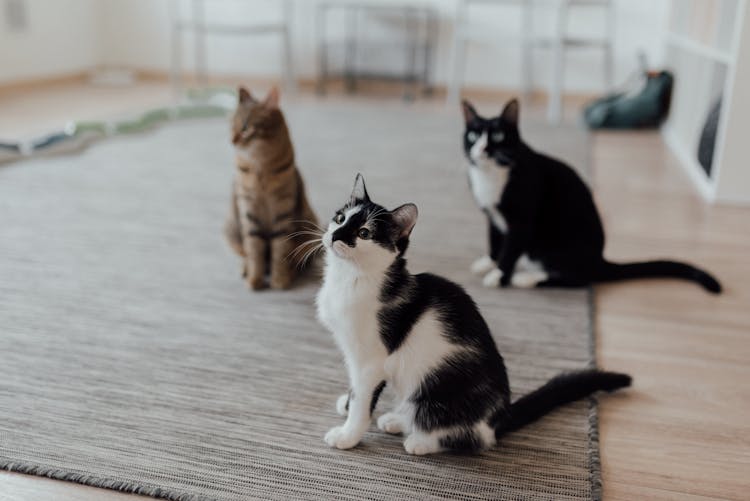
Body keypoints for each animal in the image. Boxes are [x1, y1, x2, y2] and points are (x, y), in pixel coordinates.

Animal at [223, 86, 318, 290]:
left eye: (246, 128)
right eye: (232, 126)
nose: (232, 140)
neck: (260, 168)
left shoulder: (283, 210)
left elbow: (280, 249)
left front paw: (279, 280)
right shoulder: (248, 209)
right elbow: (254, 248)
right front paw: (254, 280)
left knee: (297, 258)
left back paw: (290, 272)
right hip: (231, 230)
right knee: (246, 253)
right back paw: (246, 269)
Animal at [314, 175, 632, 454]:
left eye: (364, 233)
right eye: (341, 218)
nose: (335, 235)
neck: (350, 279)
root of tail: (500, 416)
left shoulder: (372, 360)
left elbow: (363, 400)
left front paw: (348, 434)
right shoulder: (353, 354)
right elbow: (356, 390)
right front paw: (347, 403)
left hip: (436, 390)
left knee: (475, 438)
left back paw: (421, 441)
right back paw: (398, 419)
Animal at [464, 98, 724, 292]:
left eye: (498, 136)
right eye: (472, 136)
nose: (482, 149)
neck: (492, 175)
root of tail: (598, 261)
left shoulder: (521, 221)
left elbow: (509, 250)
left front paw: (499, 276)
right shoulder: (492, 216)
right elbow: (495, 241)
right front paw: (488, 262)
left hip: (556, 245)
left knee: (578, 279)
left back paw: (527, 279)